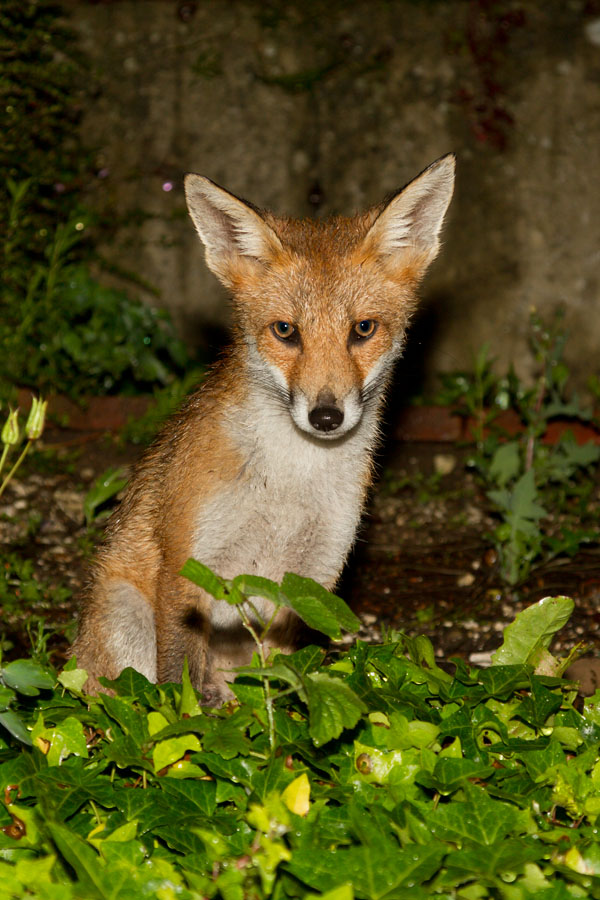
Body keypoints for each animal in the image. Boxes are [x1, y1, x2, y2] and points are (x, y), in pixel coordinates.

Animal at [71, 154, 455, 703]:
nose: (325, 416)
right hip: (124, 617)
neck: (289, 483)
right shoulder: (188, 568)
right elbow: (180, 691)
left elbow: (282, 683)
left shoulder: (308, 584)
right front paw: (186, 722)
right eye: (285, 331)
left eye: (363, 329)